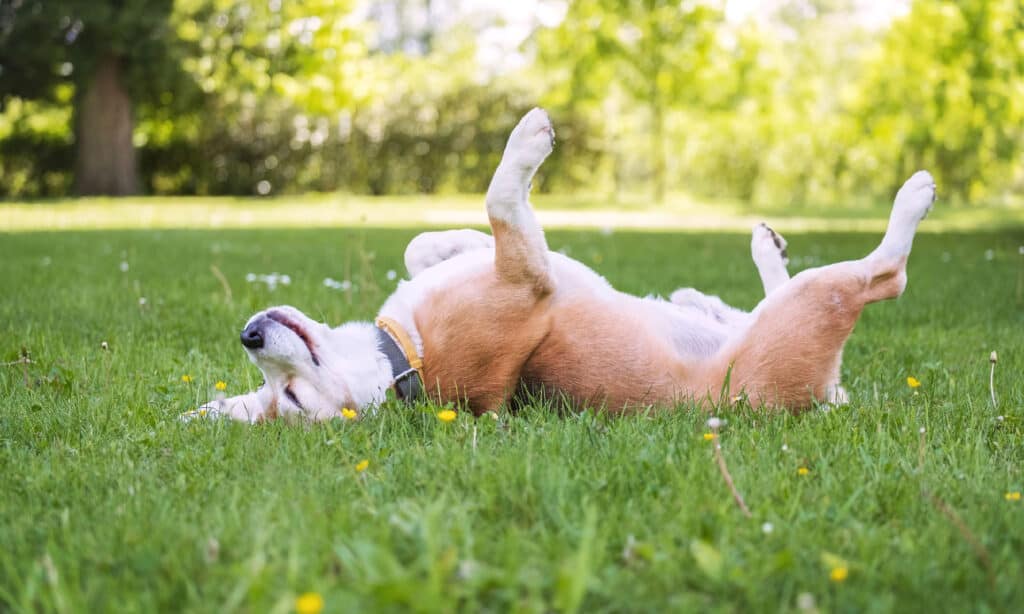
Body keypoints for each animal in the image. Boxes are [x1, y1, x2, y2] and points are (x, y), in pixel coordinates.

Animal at [190, 107, 937, 421]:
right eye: (289, 398)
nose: (249, 334)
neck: (404, 355)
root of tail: (822, 397)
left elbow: (425, 244)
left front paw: (447, 240)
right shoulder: (527, 277)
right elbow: (500, 198)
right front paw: (528, 141)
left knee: (748, 296)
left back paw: (733, 273)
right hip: (816, 302)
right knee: (885, 274)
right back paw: (913, 198)